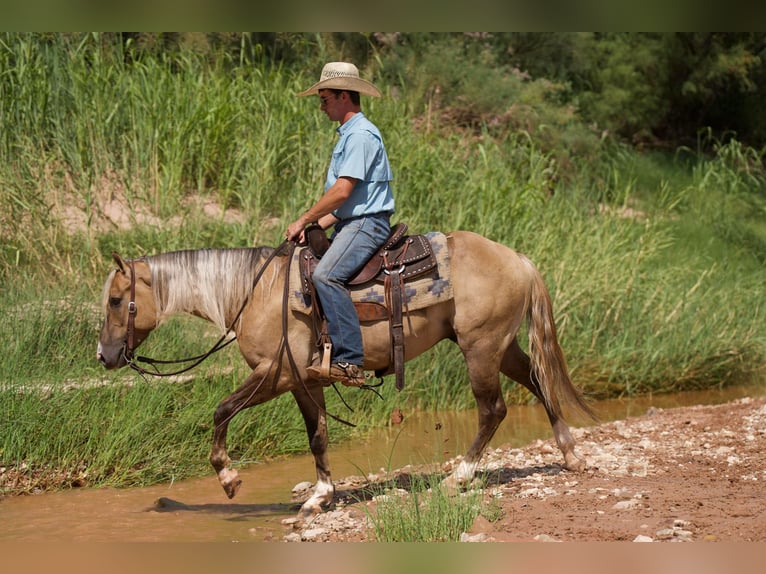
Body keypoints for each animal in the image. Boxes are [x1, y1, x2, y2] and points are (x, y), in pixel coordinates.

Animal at [96, 231, 596, 520]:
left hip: (481, 349)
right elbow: (317, 436)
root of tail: (519, 259)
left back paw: (459, 477)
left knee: (493, 409)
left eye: (117, 300)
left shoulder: (274, 373)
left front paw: (228, 478)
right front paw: (320, 495)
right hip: (499, 346)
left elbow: (221, 410)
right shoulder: (305, 381)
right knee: (538, 381)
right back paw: (571, 455)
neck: (257, 292)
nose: (104, 355)